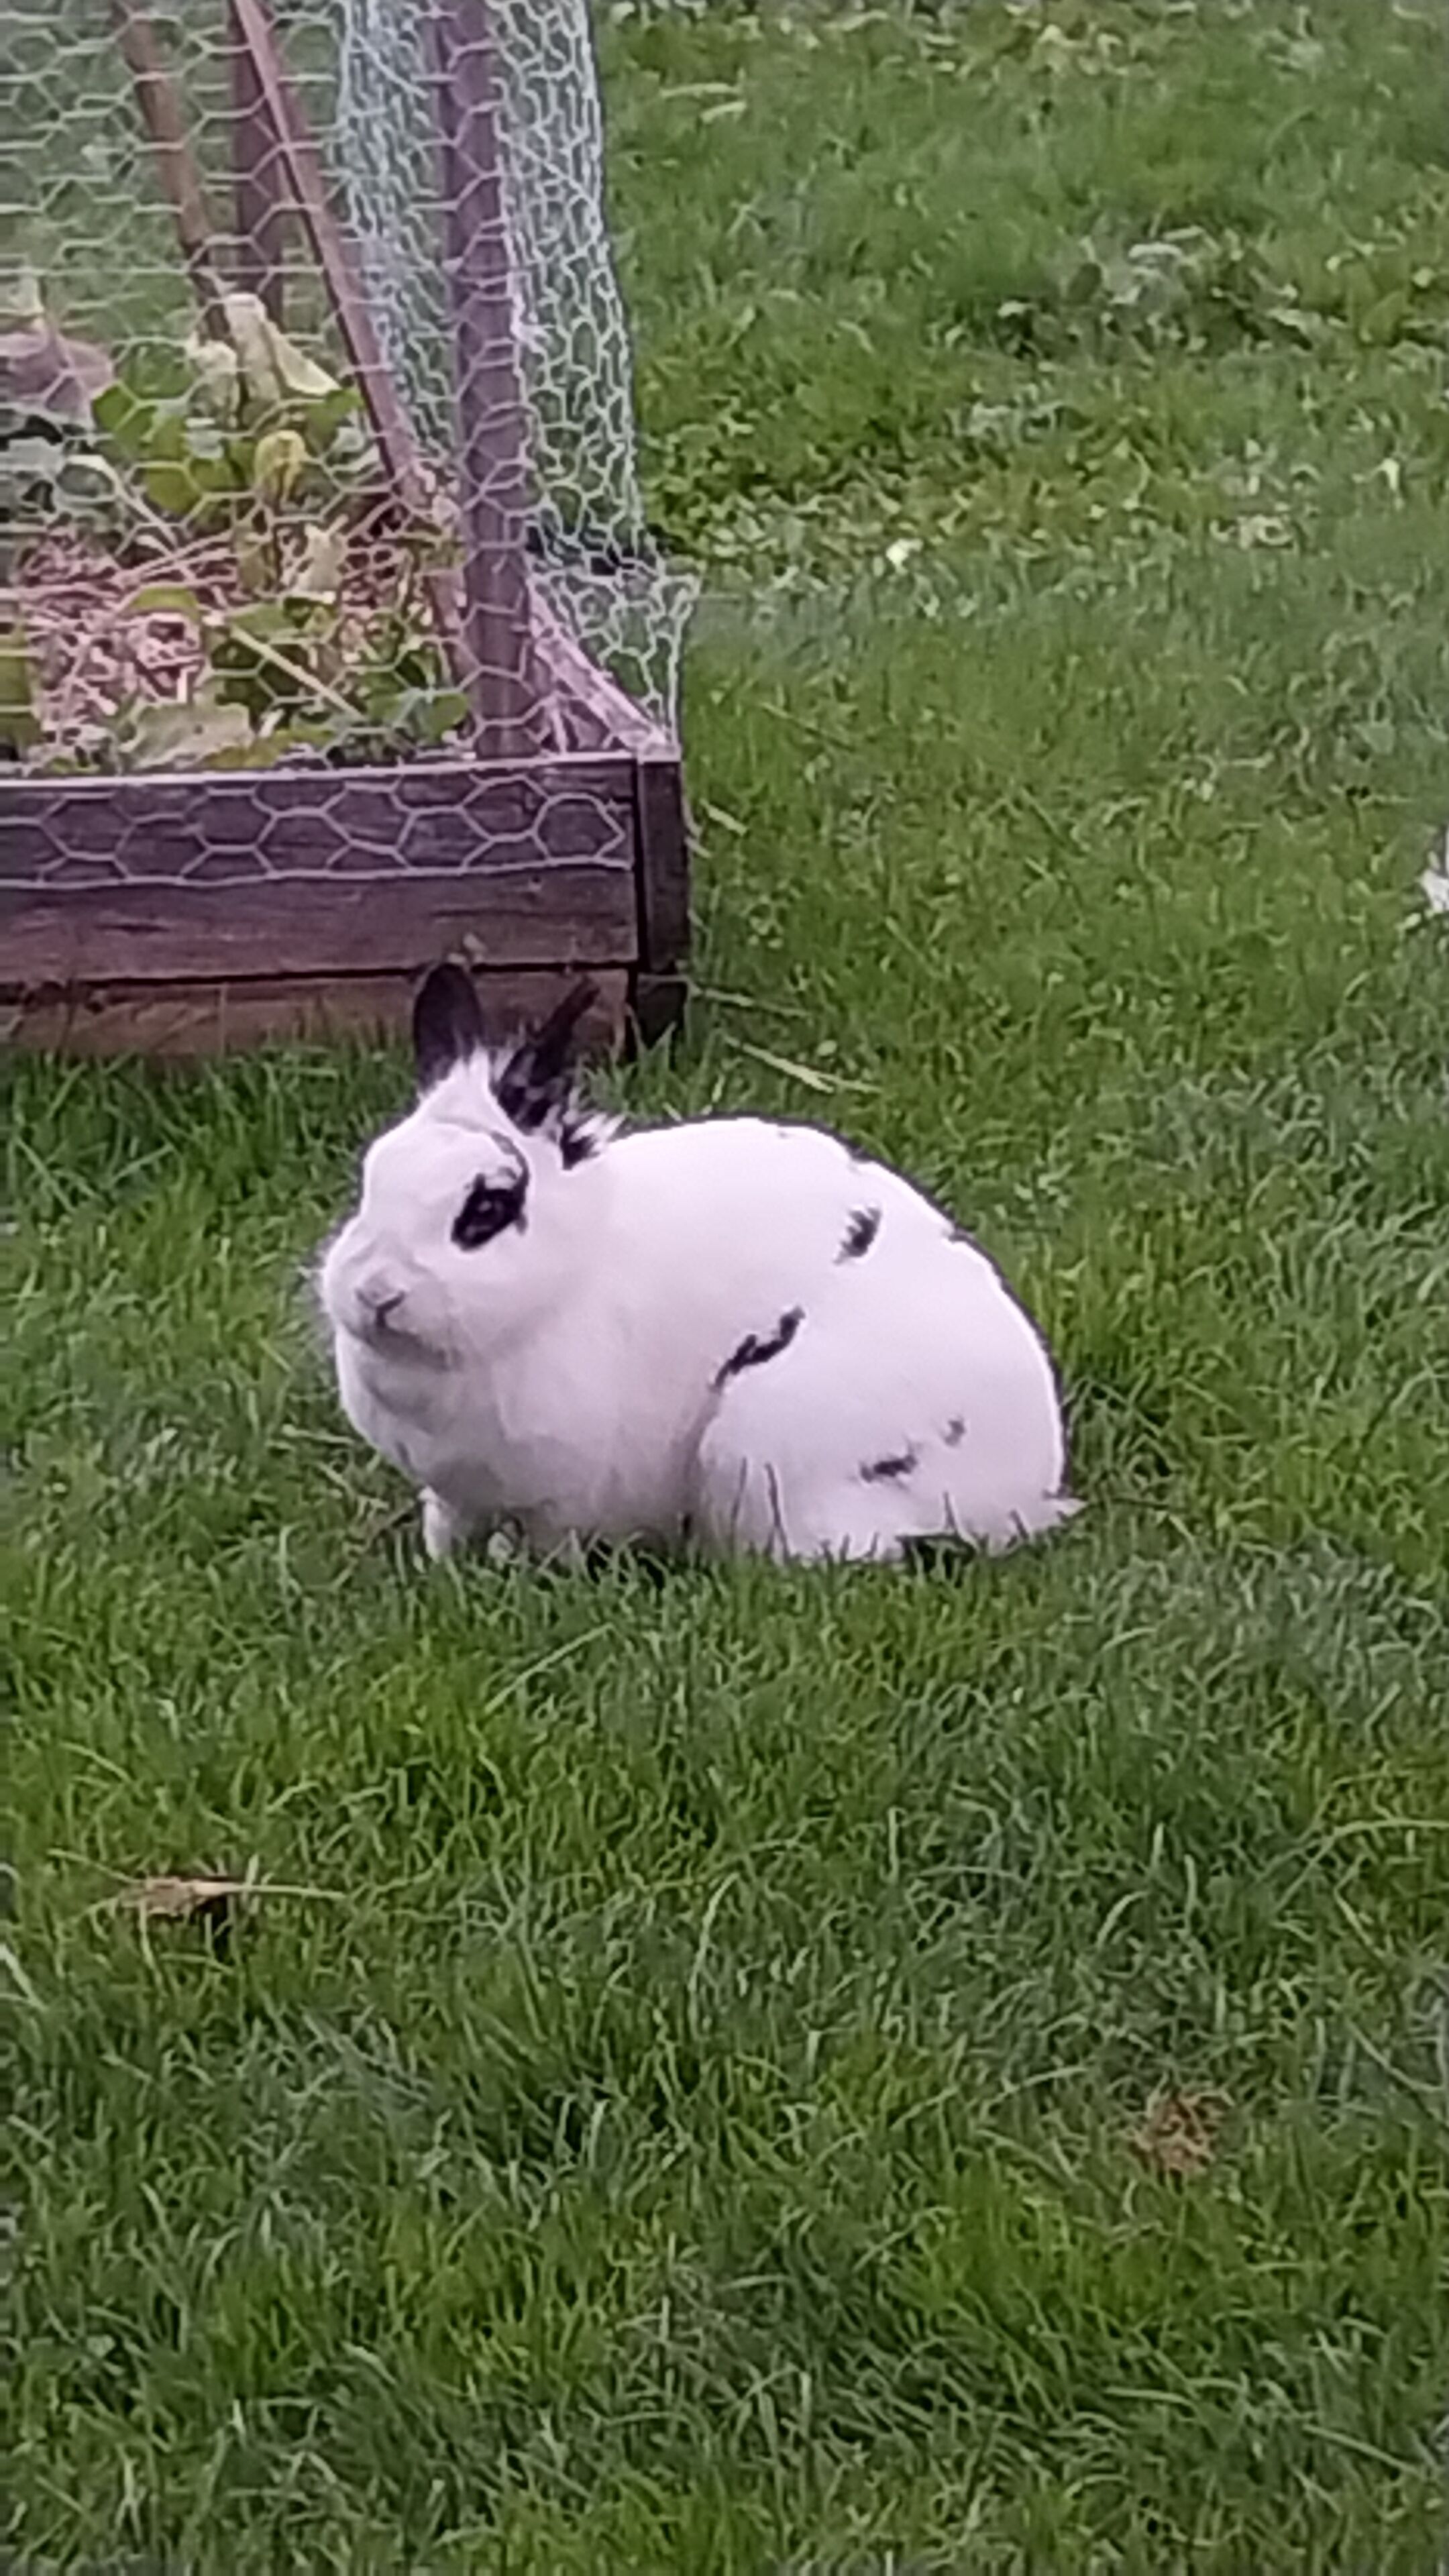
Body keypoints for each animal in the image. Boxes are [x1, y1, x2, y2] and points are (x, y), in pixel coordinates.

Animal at [315, 963, 1080, 1567]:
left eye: (486, 1210)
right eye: (371, 1177)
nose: (374, 1293)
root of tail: (1020, 1490)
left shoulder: (563, 1499)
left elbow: (553, 1544)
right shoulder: (452, 1495)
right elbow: (448, 1528)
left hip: (767, 1454)